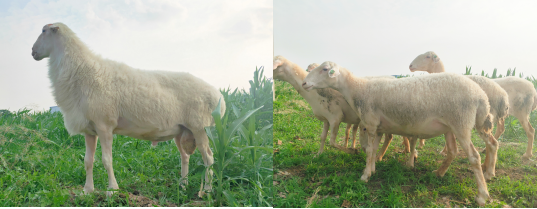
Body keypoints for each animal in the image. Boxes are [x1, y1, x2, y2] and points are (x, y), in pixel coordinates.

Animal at [30, 22, 224, 198]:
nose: (32, 52)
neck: (80, 69)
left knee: (209, 158)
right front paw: (87, 191)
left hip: (200, 127)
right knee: (185, 157)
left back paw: (206, 191)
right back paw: (182, 186)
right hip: (181, 130)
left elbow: (106, 160)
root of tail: (218, 96)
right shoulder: (90, 130)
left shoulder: (104, 126)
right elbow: (88, 161)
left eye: (44, 31)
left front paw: (112, 190)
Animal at [302, 61, 498, 205]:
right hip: (452, 126)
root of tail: (481, 95)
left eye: (325, 69)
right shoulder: (378, 128)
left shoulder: (370, 123)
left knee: (474, 157)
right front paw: (372, 170)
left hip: (461, 123)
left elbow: (369, 151)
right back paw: (439, 173)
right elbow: (373, 150)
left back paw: (482, 195)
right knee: (455, 150)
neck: (358, 88)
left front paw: (364, 176)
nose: (304, 83)